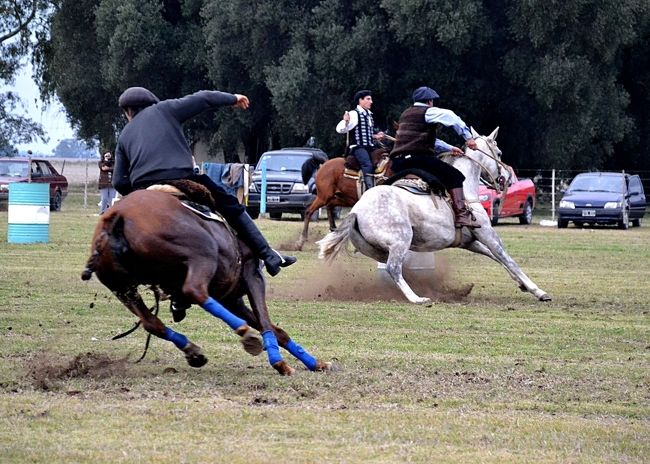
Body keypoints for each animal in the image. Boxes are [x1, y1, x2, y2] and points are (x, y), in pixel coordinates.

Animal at [80, 183, 330, 376]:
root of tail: (116, 217)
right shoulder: (252, 276)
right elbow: (266, 322)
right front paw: (280, 363)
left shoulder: (230, 298)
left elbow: (276, 330)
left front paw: (315, 363)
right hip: (202, 256)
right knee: (195, 291)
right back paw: (244, 334)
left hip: (122, 288)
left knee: (152, 322)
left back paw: (193, 351)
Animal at [316, 128, 548, 304]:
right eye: (498, 153)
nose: (506, 177)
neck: (467, 190)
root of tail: (357, 210)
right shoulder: (487, 233)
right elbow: (507, 258)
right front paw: (538, 291)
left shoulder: (469, 241)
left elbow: (495, 257)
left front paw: (523, 285)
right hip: (400, 240)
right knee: (393, 268)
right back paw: (417, 298)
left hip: (376, 250)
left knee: (394, 268)